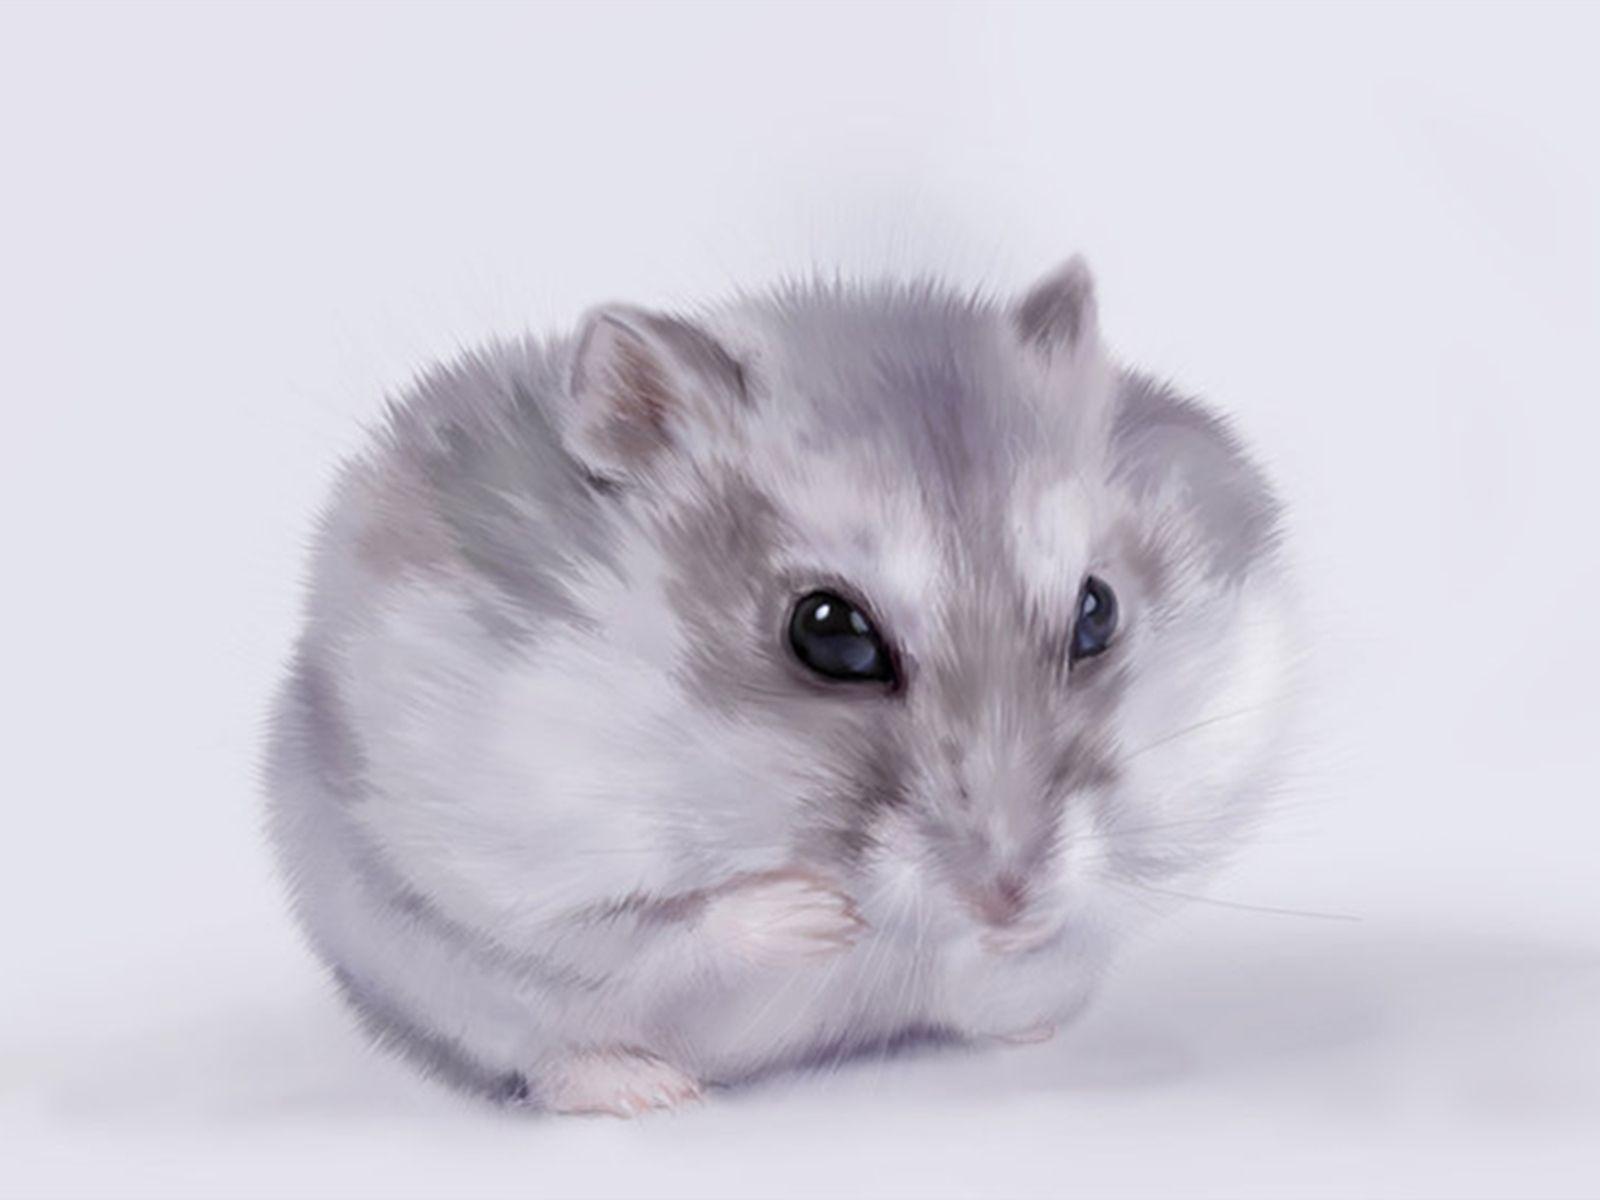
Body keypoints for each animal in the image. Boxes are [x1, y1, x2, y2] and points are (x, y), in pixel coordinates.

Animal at [265, 258, 1297, 1116]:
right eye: (829, 633)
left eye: (1097, 613)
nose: (1010, 899)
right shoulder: (503, 862)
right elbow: (652, 929)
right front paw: (816, 913)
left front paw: (1014, 941)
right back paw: (642, 1091)